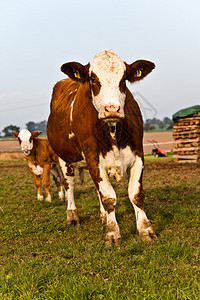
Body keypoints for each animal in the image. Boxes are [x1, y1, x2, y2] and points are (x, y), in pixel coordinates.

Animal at [47, 49, 156, 246]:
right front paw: (112, 234)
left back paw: (104, 217)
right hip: (64, 158)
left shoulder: (138, 155)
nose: (111, 109)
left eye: (123, 79)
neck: (112, 131)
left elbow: (135, 194)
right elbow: (108, 196)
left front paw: (146, 230)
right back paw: (72, 216)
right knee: (69, 184)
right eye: (93, 79)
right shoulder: (92, 158)